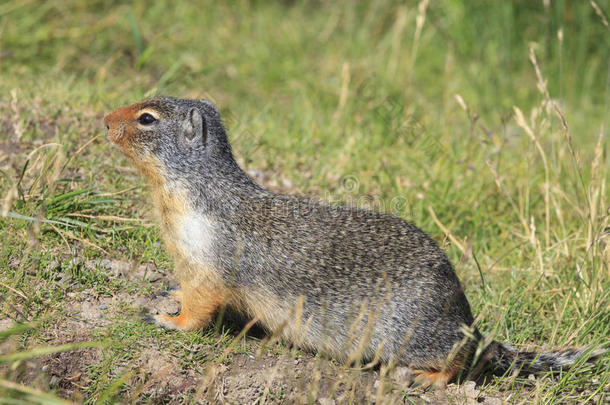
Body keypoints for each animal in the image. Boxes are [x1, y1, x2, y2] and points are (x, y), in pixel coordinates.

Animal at [103, 97, 600, 386]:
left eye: (147, 118)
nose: (104, 119)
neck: (187, 191)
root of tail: (467, 320)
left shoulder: (210, 261)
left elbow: (201, 307)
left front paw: (168, 321)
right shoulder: (189, 261)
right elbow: (185, 288)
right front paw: (168, 294)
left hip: (411, 333)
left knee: (460, 360)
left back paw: (421, 378)